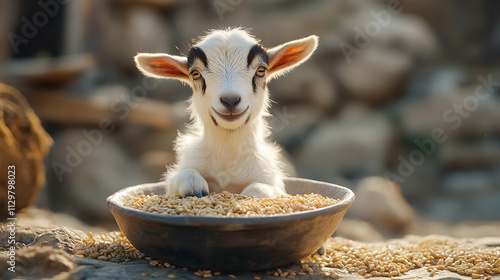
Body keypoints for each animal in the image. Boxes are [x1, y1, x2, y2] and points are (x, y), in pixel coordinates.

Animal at [135, 27, 318, 199]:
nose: (230, 100)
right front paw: (194, 189)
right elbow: (186, 176)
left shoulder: (272, 182)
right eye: (195, 73)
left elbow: (258, 189)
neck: (227, 156)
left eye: (261, 70)